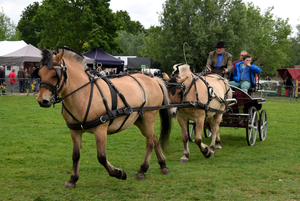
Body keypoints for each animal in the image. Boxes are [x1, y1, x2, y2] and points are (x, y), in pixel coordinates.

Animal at [35, 46, 171, 188]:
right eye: (40, 74)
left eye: (55, 75)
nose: (42, 100)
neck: (83, 93)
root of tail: (153, 80)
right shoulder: (75, 131)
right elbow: (76, 155)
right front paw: (73, 179)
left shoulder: (100, 129)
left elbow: (101, 157)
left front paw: (118, 173)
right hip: (140, 120)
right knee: (154, 138)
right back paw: (163, 165)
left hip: (149, 118)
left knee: (150, 141)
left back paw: (142, 170)